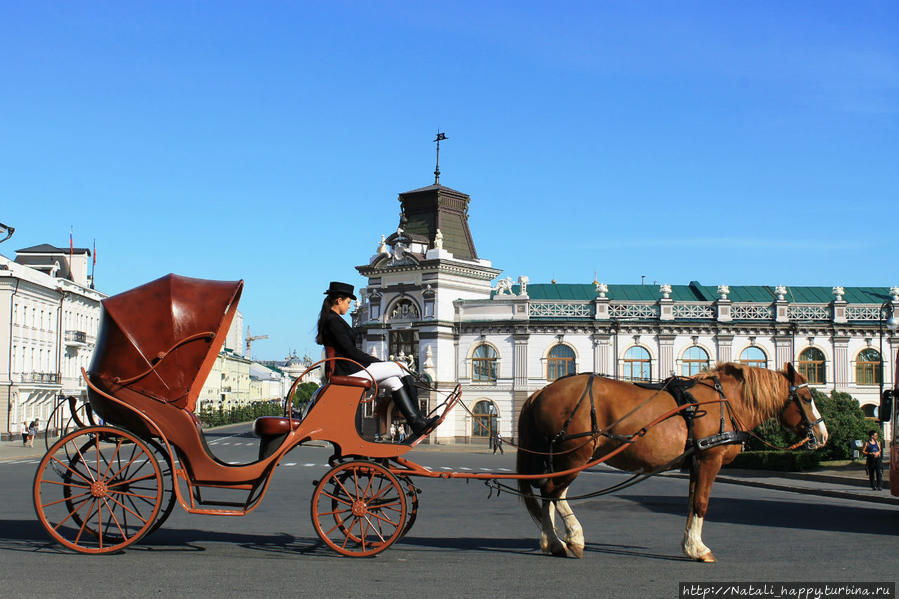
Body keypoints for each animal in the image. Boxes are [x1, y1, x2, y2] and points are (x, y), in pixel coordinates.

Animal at [516, 360, 828, 564]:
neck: (723, 402)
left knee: (551, 493)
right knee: (552, 491)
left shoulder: (695, 463)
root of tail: (540, 392)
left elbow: (691, 503)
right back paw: (567, 540)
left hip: (563, 457)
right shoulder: (709, 459)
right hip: (575, 454)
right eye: (806, 397)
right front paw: (699, 550)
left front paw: (689, 545)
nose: (823, 435)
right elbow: (702, 503)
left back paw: (553, 540)